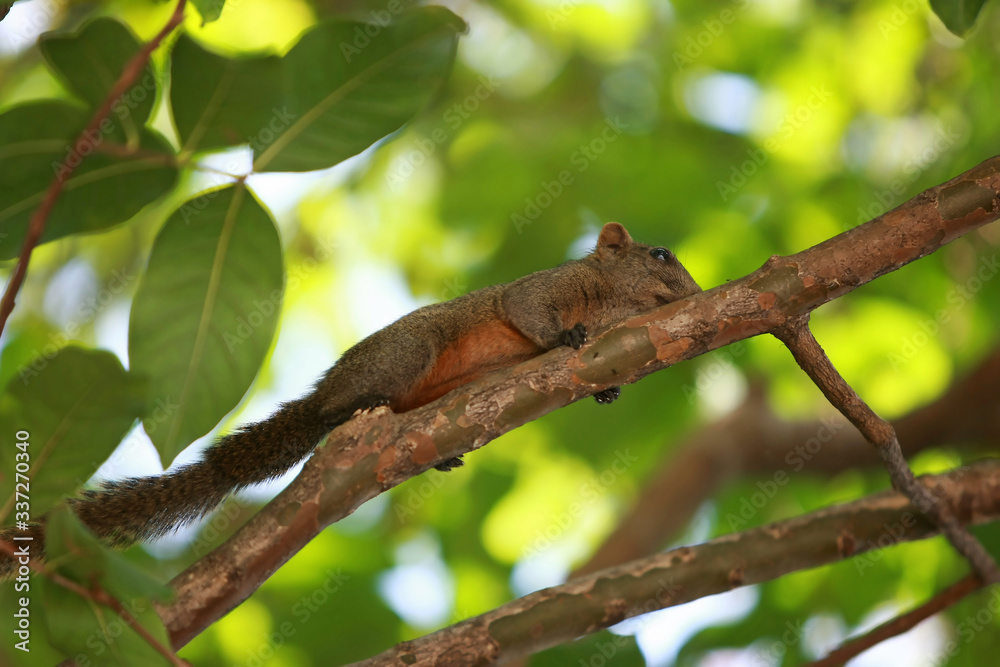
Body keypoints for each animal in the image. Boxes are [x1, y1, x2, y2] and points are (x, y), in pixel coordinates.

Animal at [0, 223, 700, 580]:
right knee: (342, 409)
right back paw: (346, 412)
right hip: (406, 354)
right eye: (661, 253)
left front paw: (606, 387)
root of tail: (326, 392)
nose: (698, 292)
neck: (608, 302)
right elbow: (527, 310)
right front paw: (563, 339)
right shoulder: (544, 288)